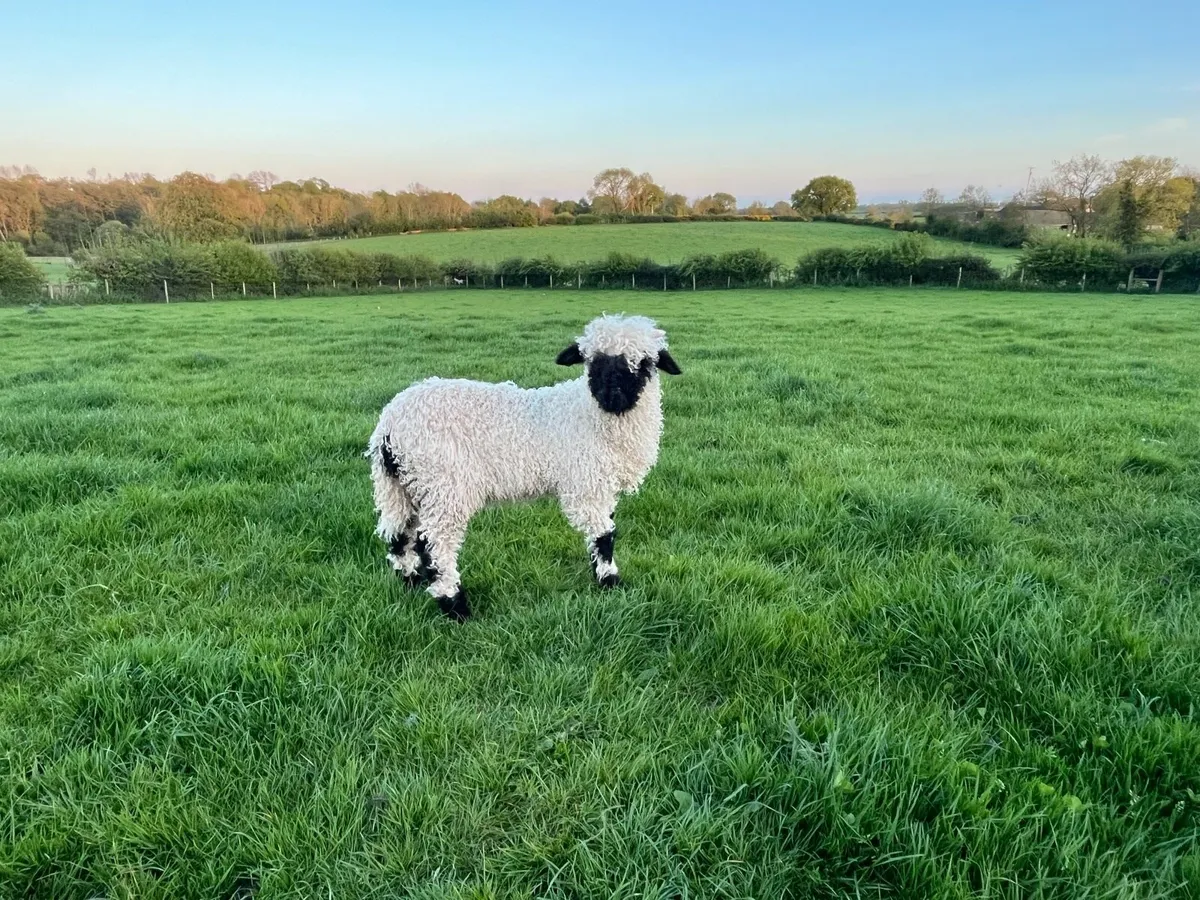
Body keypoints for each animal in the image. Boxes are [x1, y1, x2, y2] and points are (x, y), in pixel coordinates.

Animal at [366, 313, 682, 621]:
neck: (592, 416)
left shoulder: (602, 484)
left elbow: (604, 531)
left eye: (645, 363)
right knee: (433, 544)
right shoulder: (586, 483)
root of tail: (389, 426)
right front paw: (610, 582)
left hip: (401, 487)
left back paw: (411, 582)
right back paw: (456, 607)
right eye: (592, 361)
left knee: (398, 534)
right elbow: (603, 535)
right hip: (445, 485)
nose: (611, 395)